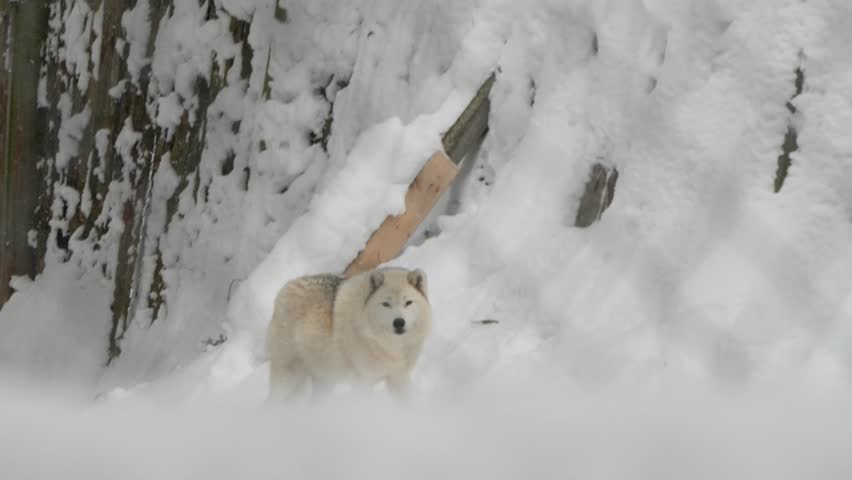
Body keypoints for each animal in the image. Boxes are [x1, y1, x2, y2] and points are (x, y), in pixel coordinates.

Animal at [265, 266, 432, 402]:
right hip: (287, 379)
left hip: (325, 381)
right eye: (386, 304)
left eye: (408, 302)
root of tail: (286, 287)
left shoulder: (398, 378)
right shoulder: (363, 382)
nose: (399, 322)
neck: (391, 346)